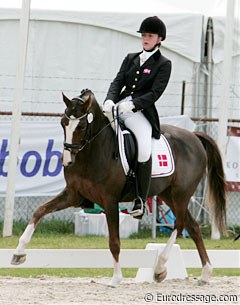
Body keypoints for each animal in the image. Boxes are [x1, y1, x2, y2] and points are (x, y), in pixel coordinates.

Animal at [11, 89, 226, 286]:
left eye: (81, 125)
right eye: (63, 123)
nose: (67, 161)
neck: (93, 152)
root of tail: (194, 137)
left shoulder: (110, 201)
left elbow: (114, 241)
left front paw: (116, 279)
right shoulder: (73, 195)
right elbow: (40, 211)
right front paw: (18, 253)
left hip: (180, 194)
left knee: (180, 225)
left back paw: (160, 268)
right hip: (168, 195)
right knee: (193, 226)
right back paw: (205, 273)